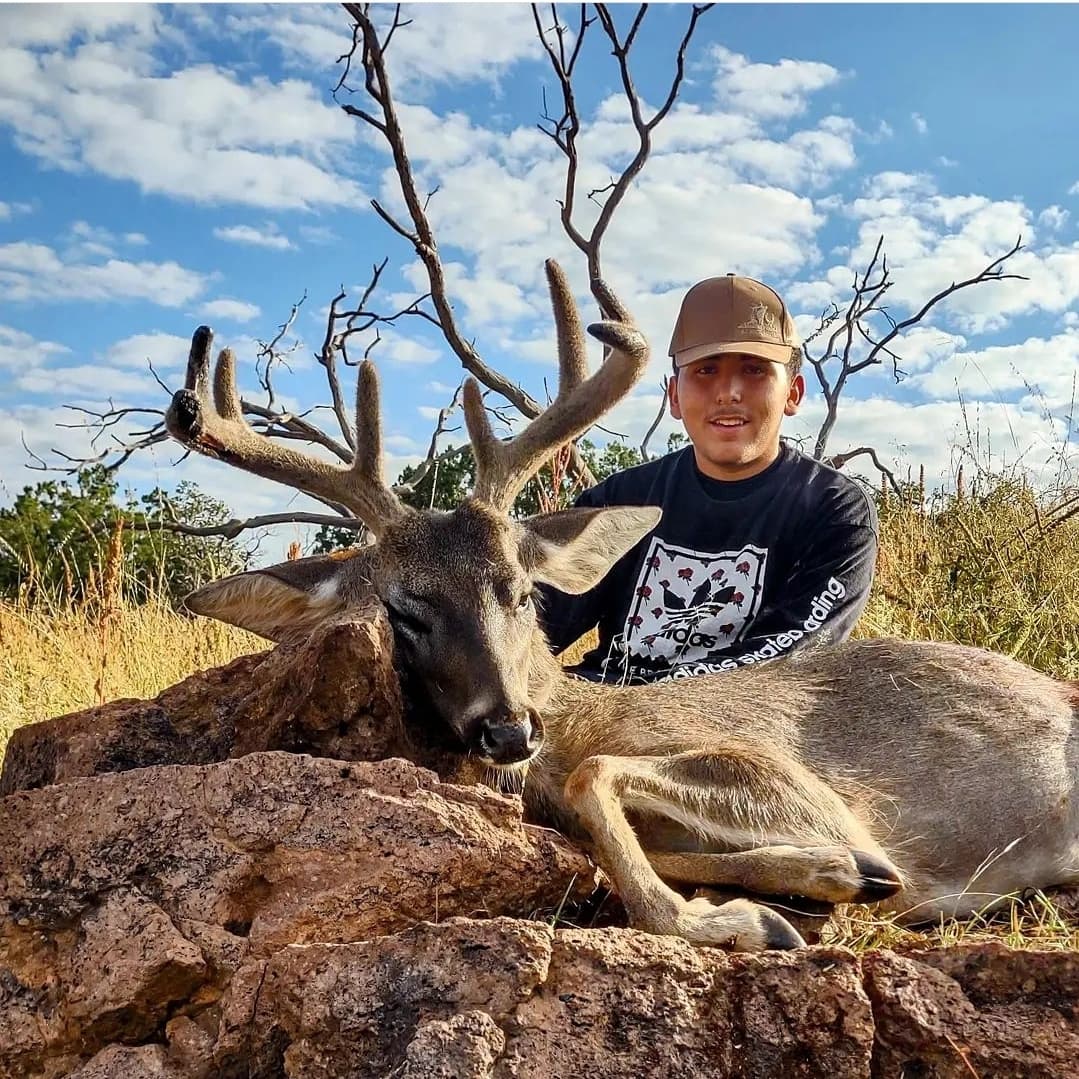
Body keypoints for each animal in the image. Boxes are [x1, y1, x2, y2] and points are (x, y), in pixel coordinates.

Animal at [165, 260, 1079, 952]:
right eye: (403, 611)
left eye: (522, 589)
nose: (508, 730)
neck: (574, 719)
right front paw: (802, 887)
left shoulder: (789, 777)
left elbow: (594, 780)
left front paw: (757, 911)